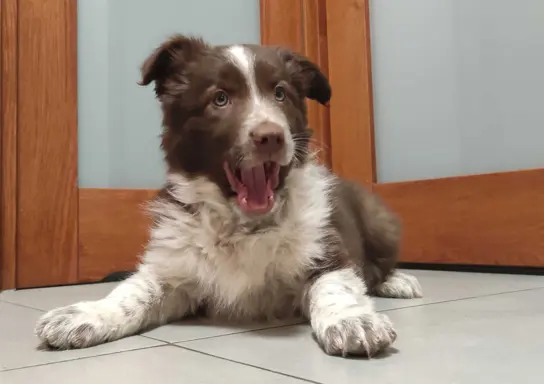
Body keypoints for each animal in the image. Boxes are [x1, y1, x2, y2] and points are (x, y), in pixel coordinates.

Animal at [36, 36, 422, 356]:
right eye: (220, 98)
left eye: (280, 93)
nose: (271, 137)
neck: (243, 223)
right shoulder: (173, 269)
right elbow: (133, 291)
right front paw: (87, 314)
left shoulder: (328, 252)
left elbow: (336, 287)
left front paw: (353, 321)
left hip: (380, 221)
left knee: (380, 265)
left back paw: (398, 281)